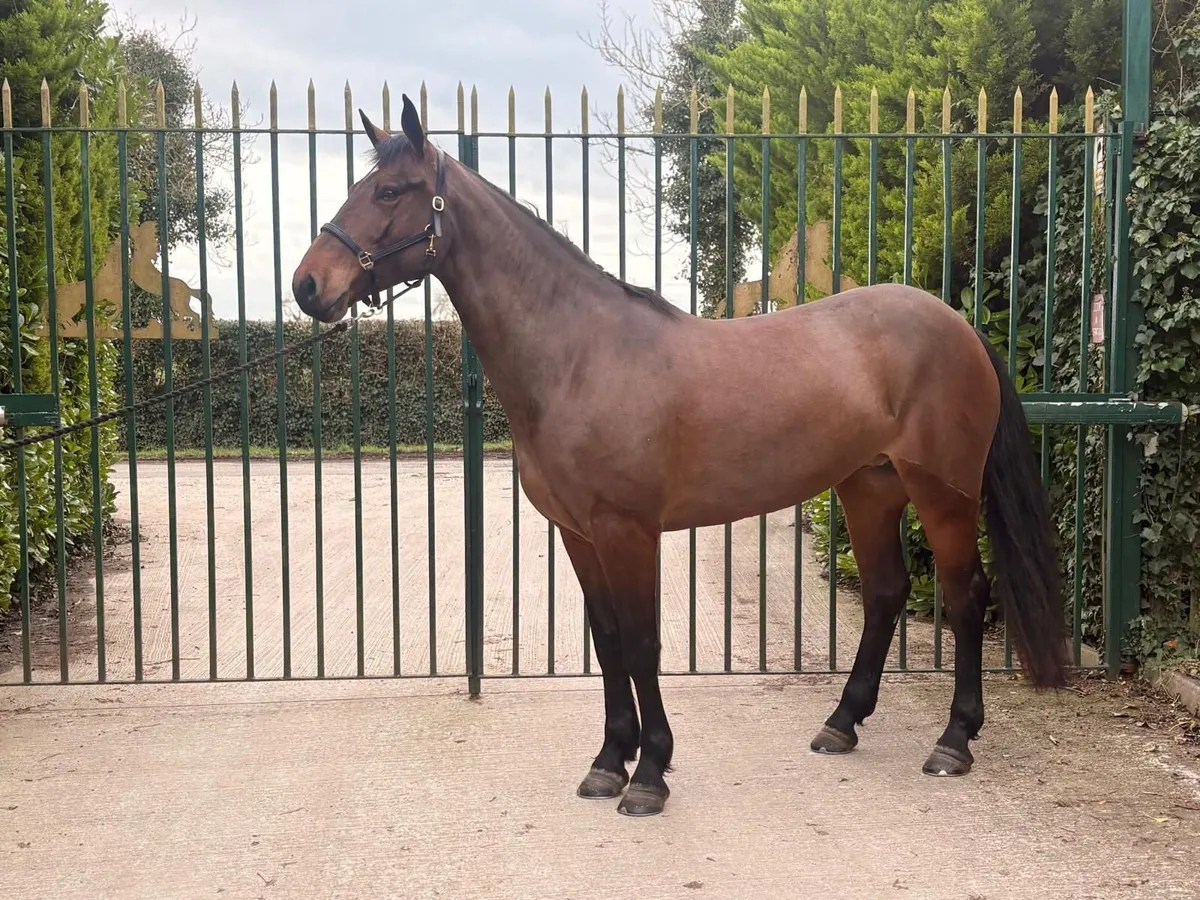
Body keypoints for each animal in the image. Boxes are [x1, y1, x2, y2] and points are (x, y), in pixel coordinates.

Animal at [291, 94, 1068, 818]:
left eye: (390, 192)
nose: (307, 285)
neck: (580, 357)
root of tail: (958, 325)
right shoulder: (578, 534)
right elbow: (608, 640)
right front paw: (609, 762)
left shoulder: (628, 531)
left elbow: (642, 644)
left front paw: (651, 775)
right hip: (868, 487)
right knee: (884, 593)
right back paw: (842, 723)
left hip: (943, 494)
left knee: (965, 597)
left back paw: (953, 742)